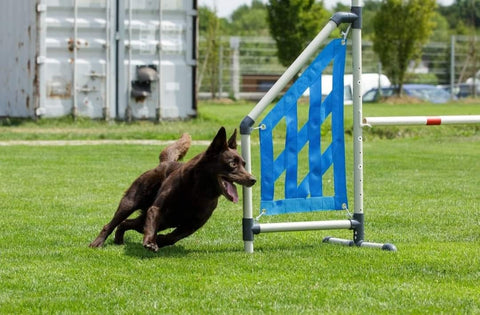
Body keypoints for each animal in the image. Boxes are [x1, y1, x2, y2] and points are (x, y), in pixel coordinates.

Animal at [89, 127, 255, 253]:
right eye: (232, 164)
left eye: (244, 164)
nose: (253, 180)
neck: (199, 191)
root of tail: (164, 163)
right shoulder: (157, 209)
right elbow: (153, 220)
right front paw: (151, 242)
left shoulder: (194, 224)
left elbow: (174, 237)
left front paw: (160, 240)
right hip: (131, 202)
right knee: (113, 223)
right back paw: (98, 243)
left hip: (159, 222)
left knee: (127, 223)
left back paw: (119, 240)